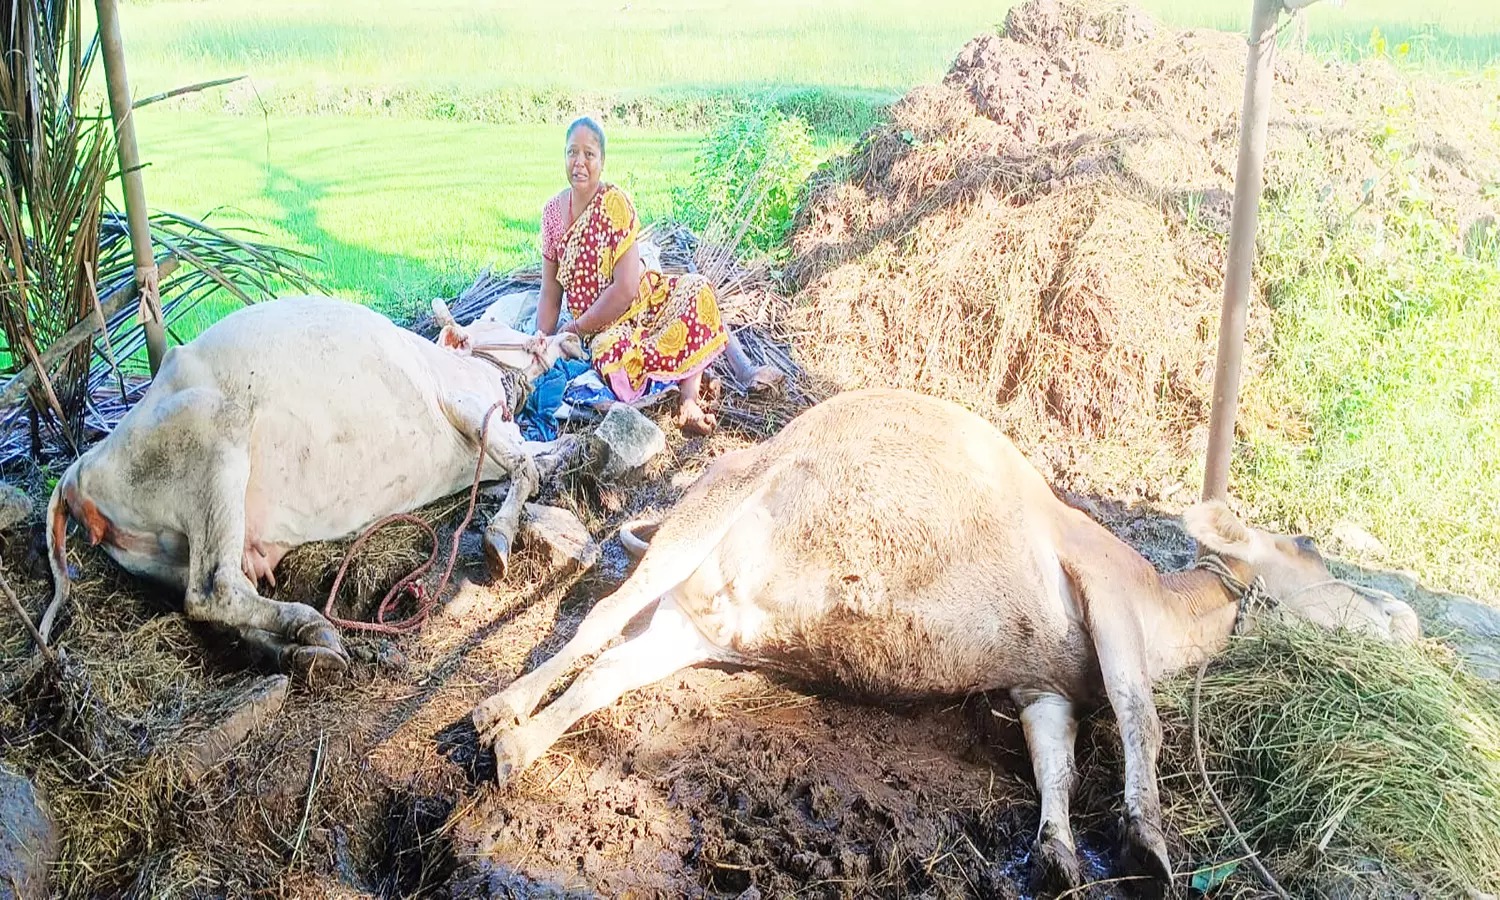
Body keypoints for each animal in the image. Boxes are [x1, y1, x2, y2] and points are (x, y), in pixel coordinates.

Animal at [43, 295, 582, 675]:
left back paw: (300, 653)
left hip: (163, 556)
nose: (553, 338)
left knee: (220, 605)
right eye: (496, 325)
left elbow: (541, 455)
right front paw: (498, 538)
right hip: (216, 432)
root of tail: (78, 471)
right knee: (212, 590)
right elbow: (527, 469)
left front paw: (562, 451)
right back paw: (312, 626)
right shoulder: (465, 404)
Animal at [474, 387, 1422, 894]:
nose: (1413, 624)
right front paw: (1150, 844)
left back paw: (522, 741)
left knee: (616, 668)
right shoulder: (1105, 586)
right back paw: (499, 713)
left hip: (699, 623)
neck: (1166, 613)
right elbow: (1141, 713)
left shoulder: (1045, 687)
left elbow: (1057, 761)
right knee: (599, 617)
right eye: (1312, 550)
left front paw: (1059, 852)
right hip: (706, 513)